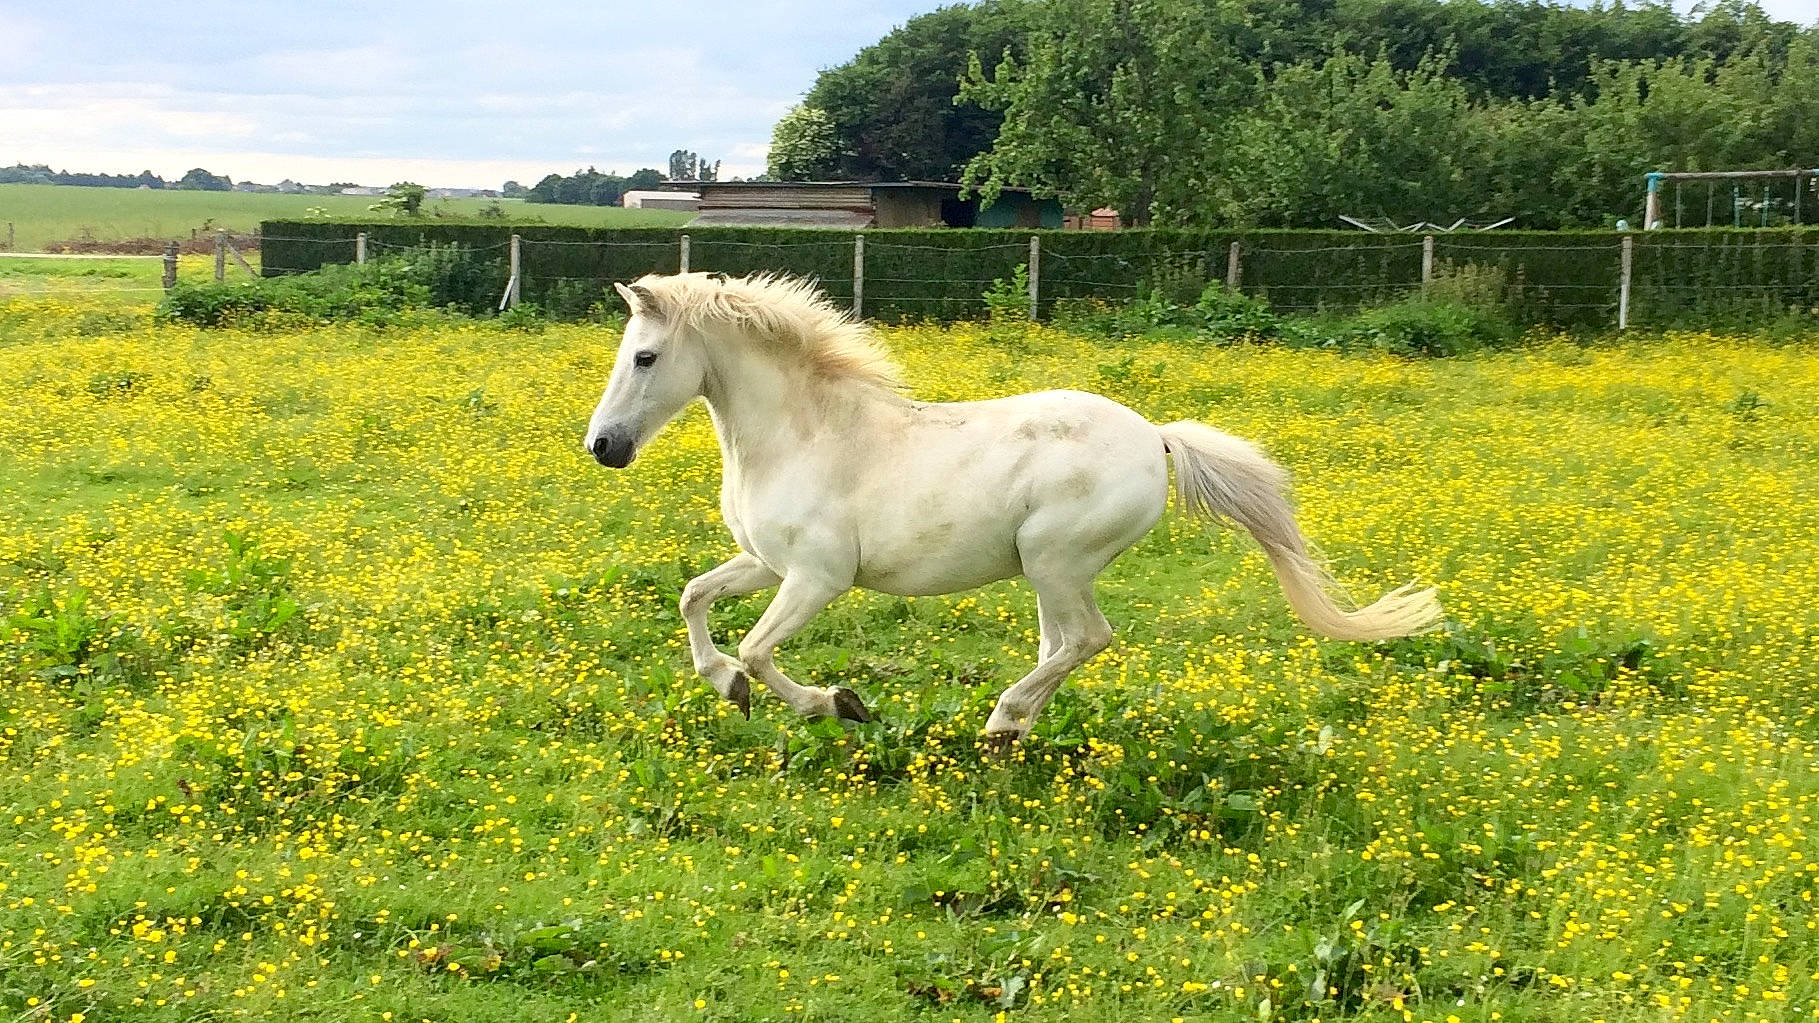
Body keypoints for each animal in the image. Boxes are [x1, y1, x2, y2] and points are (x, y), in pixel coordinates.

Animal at [583, 272, 1441, 744]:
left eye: (645, 356)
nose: (603, 446)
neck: (806, 431)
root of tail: (1157, 438)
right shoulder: (766, 562)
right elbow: (694, 597)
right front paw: (723, 683)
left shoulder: (816, 578)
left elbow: (761, 650)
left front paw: (839, 703)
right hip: (1043, 572)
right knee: (1058, 644)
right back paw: (1014, 728)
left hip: (1056, 560)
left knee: (1087, 638)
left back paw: (1001, 719)